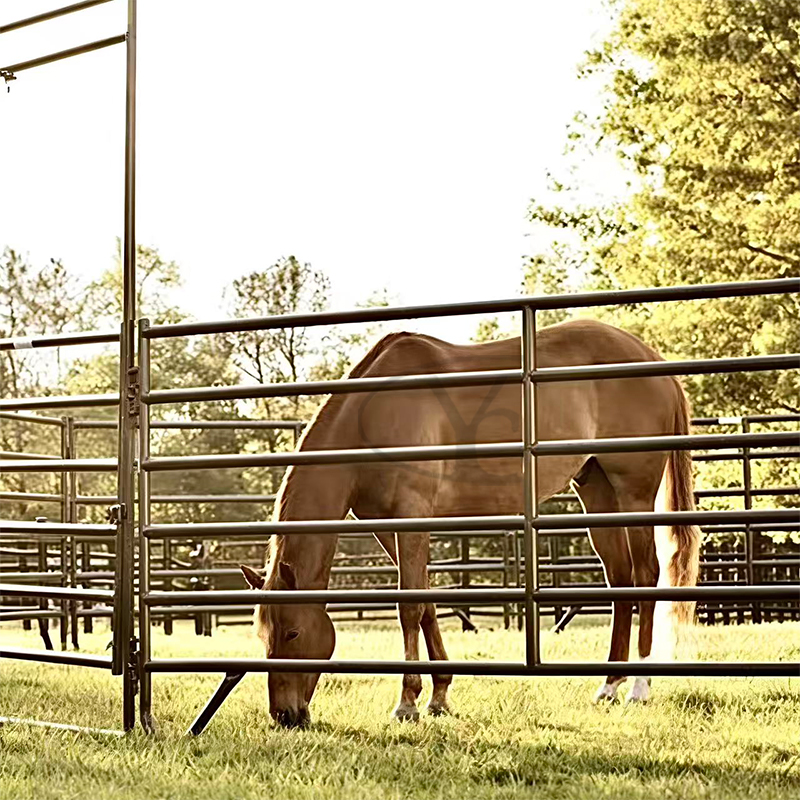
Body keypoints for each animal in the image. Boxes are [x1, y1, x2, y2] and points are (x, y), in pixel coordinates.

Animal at [240, 318, 701, 727]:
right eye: (262, 635)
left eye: (293, 633)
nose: (285, 715)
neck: (374, 415)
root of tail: (652, 360)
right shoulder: (388, 525)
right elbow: (426, 602)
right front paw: (440, 694)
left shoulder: (411, 518)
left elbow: (409, 607)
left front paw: (407, 702)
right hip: (598, 491)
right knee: (620, 579)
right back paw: (609, 684)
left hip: (633, 492)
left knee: (646, 575)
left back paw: (639, 687)